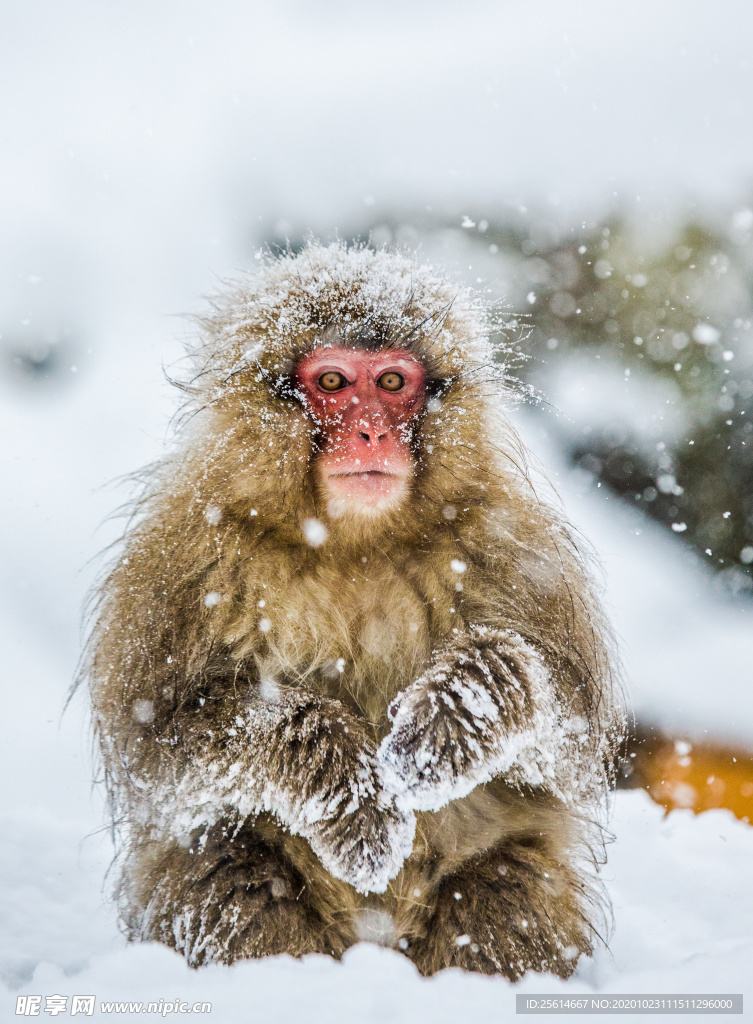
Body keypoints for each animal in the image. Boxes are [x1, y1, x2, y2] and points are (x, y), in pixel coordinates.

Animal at [85, 237, 622, 974]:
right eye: (334, 382)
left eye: (392, 383)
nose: (370, 433)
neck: (353, 545)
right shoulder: (183, 558)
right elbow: (160, 742)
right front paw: (343, 782)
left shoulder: (512, 544)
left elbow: (566, 734)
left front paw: (462, 707)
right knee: (225, 871)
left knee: (504, 888)